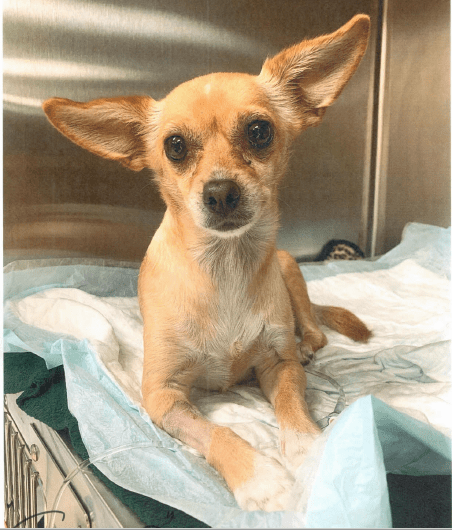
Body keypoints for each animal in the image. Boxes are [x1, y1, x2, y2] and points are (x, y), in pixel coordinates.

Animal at [43, 14, 371, 511]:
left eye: (259, 131)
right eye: (175, 146)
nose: (220, 192)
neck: (226, 268)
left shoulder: (278, 368)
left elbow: (293, 409)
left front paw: (310, 448)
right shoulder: (163, 397)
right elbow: (216, 433)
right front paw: (260, 477)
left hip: (290, 270)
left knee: (313, 326)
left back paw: (308, 344)